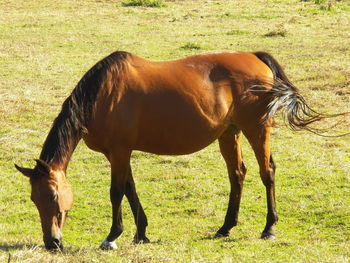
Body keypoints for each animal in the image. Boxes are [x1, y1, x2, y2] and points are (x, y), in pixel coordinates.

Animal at [14, 50, 330, 251]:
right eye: (33, 199)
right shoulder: (119, 153)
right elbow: (130, 190)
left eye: (53, 196)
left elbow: (116, 192)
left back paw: (269, 228)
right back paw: (225, 227)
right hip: (229, 133)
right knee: (237, 174)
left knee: (268, 172)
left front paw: (112, 236)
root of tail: (255, 56)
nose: (52, 243)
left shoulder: (119, 151)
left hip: (257, 129)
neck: (103, 94)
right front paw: (141, 233)